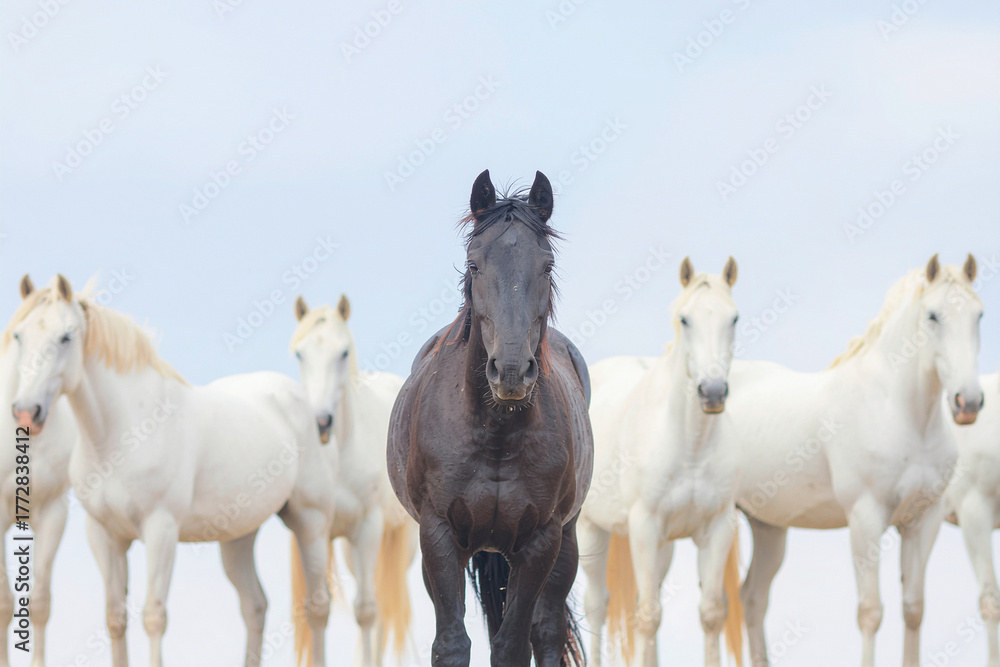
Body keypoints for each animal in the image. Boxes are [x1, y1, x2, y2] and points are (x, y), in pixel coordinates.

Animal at [5, 274, 336, 667]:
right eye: (19, 335)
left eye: (66, 337)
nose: (27, 412)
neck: (122, 433)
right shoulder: (103, 534)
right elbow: (115, 617)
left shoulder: (160, 529)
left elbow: (153, 616)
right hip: (239, 537)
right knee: (254, 606)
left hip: (310, 521)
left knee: (317, 607)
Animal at [288, 294, 415, 666]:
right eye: (300, 354)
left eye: (343, 353)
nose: (321, 421)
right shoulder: (317, 529)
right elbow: (318, 610)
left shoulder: (368, 528)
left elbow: (367, 611)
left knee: (381, 608)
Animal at [387, 170, 594, 667]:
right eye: (474, 264)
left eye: (547, 266)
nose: (512, 370)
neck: (497, 435)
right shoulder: (438, 535)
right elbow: (451, 643)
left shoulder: (540, 542)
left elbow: (514, 644)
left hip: (565, 544)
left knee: (547, 631)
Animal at [579, 257, 744, 667]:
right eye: (685, 319)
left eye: (733, 318)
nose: (712, 392)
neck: (691, 447)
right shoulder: (644, 526)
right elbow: (647, 616)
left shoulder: (717, 528)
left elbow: (711, 613)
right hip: (592, 532)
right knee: (597, 605)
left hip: (663, 547)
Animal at [725, 254, 983, 667]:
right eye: (933, 316)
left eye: (979, 315)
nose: (968, 402)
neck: (901, 412)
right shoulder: (865, 518)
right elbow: (870, 611)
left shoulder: (923, 521)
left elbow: (913, 608)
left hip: (768, 527)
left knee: (752, 599)